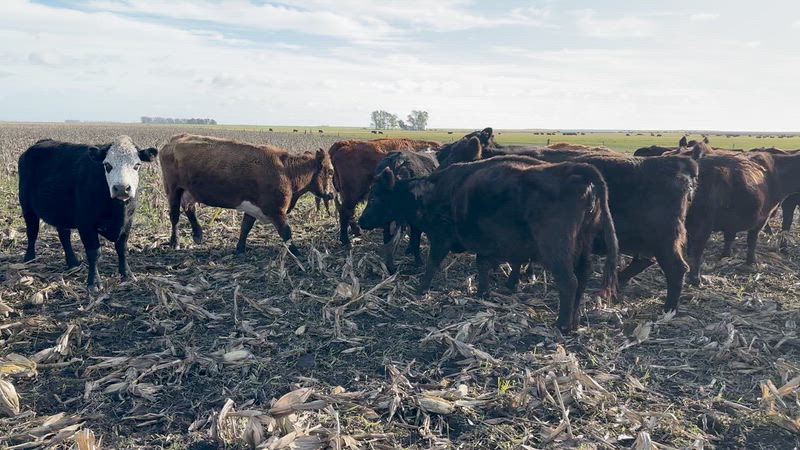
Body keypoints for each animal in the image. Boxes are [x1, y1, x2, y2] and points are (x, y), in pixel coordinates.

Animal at [18, 136, 158, 289]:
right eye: (107, 165)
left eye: (137, 165)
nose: (121, 188)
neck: (118, 210)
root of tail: (41, 142)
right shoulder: (85, 223)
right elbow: (94, 252)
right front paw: (94, 282)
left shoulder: (128, 222)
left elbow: (122, 248)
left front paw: (127, 274)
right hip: (27, 208)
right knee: (32, 232)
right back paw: (29, 258)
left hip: (60, 212)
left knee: (64, 236)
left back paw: (73, 263)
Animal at [159, 134, 334, 256]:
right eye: (331, 172)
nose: (331, 195)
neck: (287, 171)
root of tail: (175, 139)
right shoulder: (276, 211)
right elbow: (286, 233)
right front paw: (297, 254)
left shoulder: (253, 208)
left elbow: (246, 227)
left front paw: (240, 248)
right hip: (173, 189)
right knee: (174, 216)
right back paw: (174, 242)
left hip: (189, 191)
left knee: (189, 209)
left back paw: (198, 235)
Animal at [410, 152, 618, 332]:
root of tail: (573, 170)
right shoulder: (483, 243)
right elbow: (482, 264)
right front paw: (482, 293)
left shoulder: (442, 237)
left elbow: (432, 263)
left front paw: (421, 289)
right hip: (584, 245)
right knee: (582, 277)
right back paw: (574, 322)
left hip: (556, 248)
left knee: (569, 281)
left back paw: (562, 325)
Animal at [439, 132, 699, 313]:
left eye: (456, 153)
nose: (439, 170)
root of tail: (680, 164)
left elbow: (517, 259)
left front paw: (515, 280)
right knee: (645, 262)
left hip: (665, 239)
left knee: (676, 269)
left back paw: (668, 309)